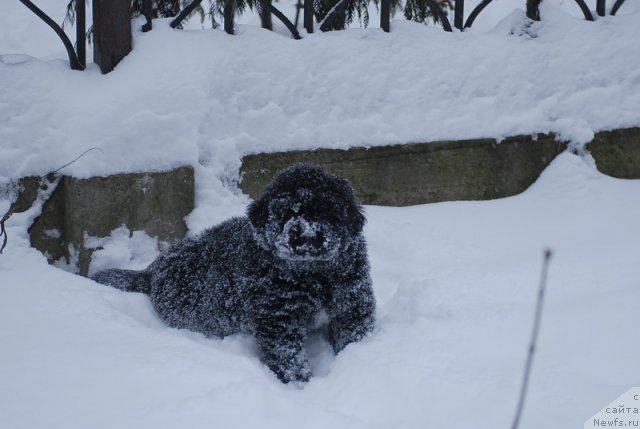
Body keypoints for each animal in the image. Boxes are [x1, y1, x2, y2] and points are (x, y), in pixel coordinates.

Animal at [92, 165, 378, 384]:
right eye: (285, 212)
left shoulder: (352, 301)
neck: (312, 273)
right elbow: (288, 355)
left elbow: (353, 334)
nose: (305, 235)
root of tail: (152, 271)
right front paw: (300, 385)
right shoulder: (277, 318)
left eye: (326, 210)